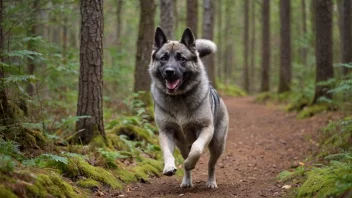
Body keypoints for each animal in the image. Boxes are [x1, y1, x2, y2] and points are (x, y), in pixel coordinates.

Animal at [148, 26, 228, 189]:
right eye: (163, 58)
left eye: (181, 59)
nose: (169, 71)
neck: (178, 97)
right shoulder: (166, 132)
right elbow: (167, 152)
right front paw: (169, 167)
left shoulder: (205, 129)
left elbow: (197, 149)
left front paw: (190, 163)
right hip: (183, 145)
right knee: (187, 162)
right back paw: (186, 181)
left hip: (217, 144)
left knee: (211, 164)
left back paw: (211, 181)